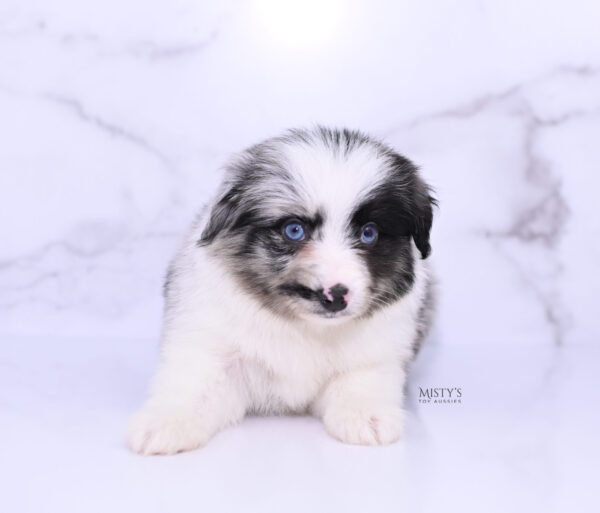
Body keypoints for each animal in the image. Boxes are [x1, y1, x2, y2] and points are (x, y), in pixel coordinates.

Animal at [127, 126, 436, 454]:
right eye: (294, 230)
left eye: (369, 233)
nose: (335, 296)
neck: (306, 327)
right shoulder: (212, 347)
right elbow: (195, 385)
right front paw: (166, 420)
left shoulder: (377, 353)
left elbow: (361, 379)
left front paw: (365, 415)